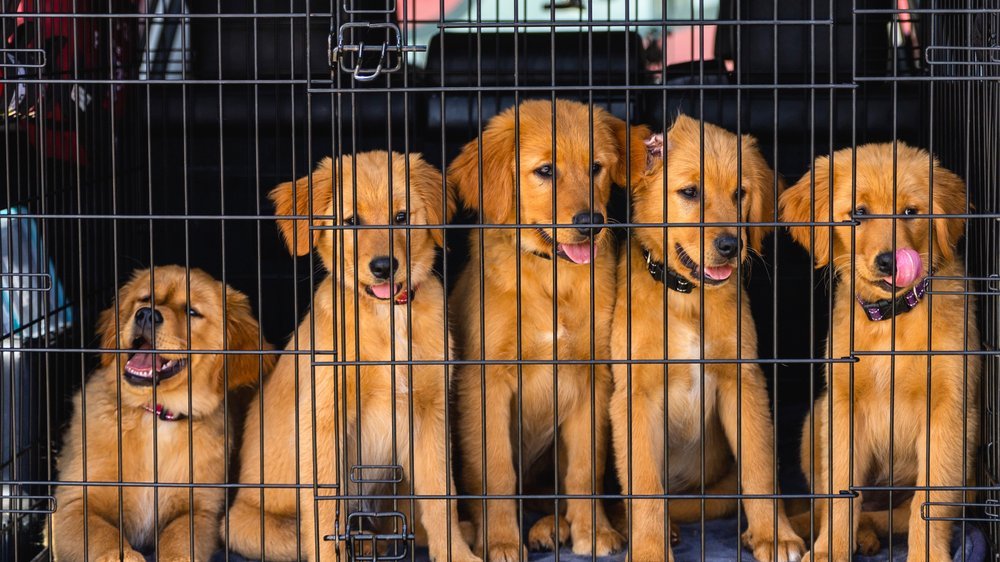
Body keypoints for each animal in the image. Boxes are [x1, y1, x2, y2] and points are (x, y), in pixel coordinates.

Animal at [50, 264, 270, 560]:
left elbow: (179, 538)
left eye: (192, 312)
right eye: (145, 299)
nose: (145, 314)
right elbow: (99, 534)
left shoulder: (200, 510)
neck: (155, 415)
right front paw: (120, 555)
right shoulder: (71, 503)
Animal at [229, 150, 478, 560]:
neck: (385, 316)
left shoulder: (431, 412)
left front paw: (456, 553)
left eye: (401, 217)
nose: (383, 267)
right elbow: (324, 510)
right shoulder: (324, 417)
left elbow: (443, 496)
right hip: (248, 526)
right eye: (350, 221)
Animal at [450, 98, 636, 556]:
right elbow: (496, 472)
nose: (591, 222)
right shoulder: (487, 382)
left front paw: (594, 531)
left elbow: (586, 468)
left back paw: (553, 527)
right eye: (546, 170)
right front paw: (500, 539)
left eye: (596, 167)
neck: (551, 277)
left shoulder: (592, 379)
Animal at [608, 115, 804, 560]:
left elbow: (759, 468)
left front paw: (774, 536)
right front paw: (649, 550)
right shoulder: (634, 394)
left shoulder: (742, 381)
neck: (688, 299)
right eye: (690, 193)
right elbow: (644, 485)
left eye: (739, 194)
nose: (731, 245)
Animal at [776, 141, 980, 560]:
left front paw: (927, 555)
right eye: (858, 212)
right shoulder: (843, 406)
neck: (892, 320)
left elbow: (929, 502)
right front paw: (829, 551)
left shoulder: (949, 410)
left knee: (891, 515)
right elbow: (839, 495)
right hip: (815, 418)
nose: (889, 262)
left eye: (910, 212)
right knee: (830, 506)